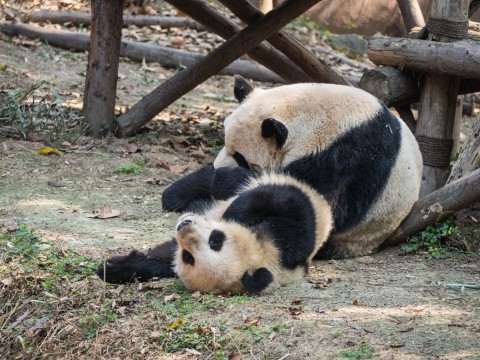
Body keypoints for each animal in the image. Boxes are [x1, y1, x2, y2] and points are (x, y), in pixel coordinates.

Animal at [96, 171, 330, 292]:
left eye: (188, 257)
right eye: (217, 240)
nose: (183, 225)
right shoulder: (290, 240)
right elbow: (282, 201)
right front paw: (111, 268)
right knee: (224, 179)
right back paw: (178, 195)